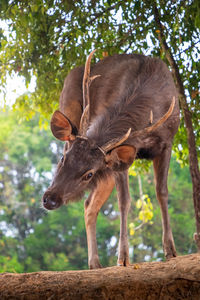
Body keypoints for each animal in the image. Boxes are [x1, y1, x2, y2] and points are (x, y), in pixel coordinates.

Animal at [42, 49, 180, 270]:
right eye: (63, 158)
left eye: (89, 174)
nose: (50, 199)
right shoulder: (121, 160)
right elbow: (124, 200)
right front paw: (123, 257)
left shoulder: (167, 143)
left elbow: (162, 192)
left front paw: (170, 250)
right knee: (90, 204)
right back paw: (94, 262)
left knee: (89, 204)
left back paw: (95, 263)